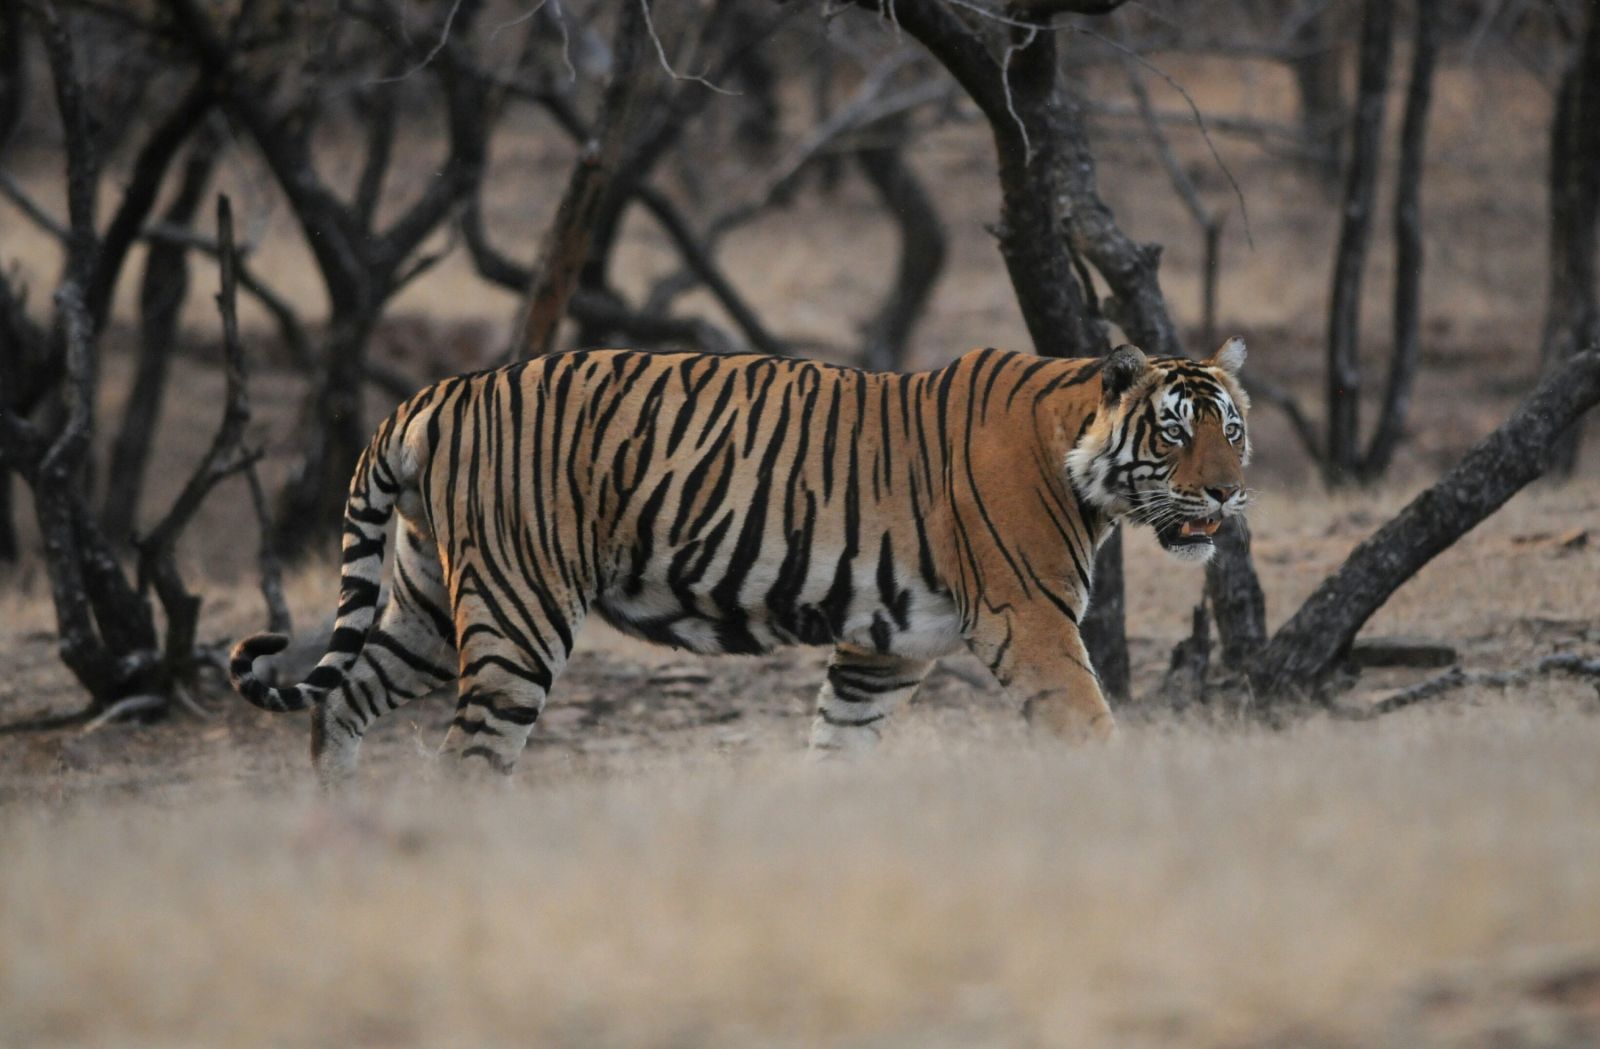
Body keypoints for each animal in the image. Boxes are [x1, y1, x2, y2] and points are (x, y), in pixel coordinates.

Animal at [231, 338, 1251, 784]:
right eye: (1174, 433)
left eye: (1232, 429)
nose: (1228, 494)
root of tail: (433, 395)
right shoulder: (1031, 623)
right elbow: (1092, 726)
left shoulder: (887, 648)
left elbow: (838, 746)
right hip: (518, 613)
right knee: (468, 755)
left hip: (425, 611)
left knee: (340, 704)